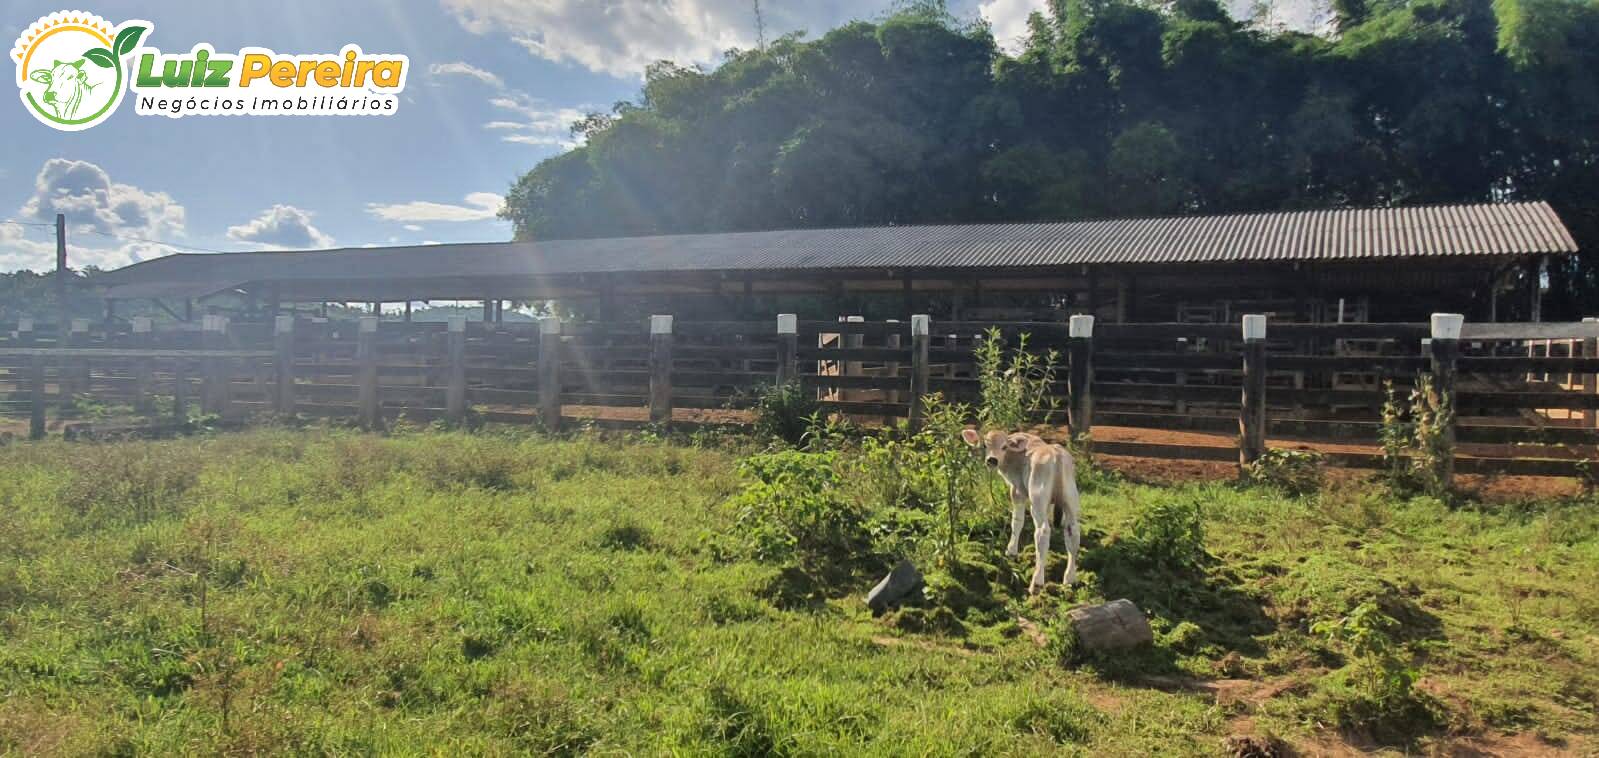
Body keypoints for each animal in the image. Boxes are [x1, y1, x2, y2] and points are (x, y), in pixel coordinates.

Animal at [959, 428, 1087, 594]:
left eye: (1004, 447)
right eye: (984, 445)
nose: (992, 460)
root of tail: (1056, 453)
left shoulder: (1017, 491)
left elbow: (1017, 521)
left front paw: (1011, 550)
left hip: (1037, 499)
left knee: (1042, 532)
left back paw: (1037, 582)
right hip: (1070, 499)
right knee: (1073, 532)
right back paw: (1069, 578)